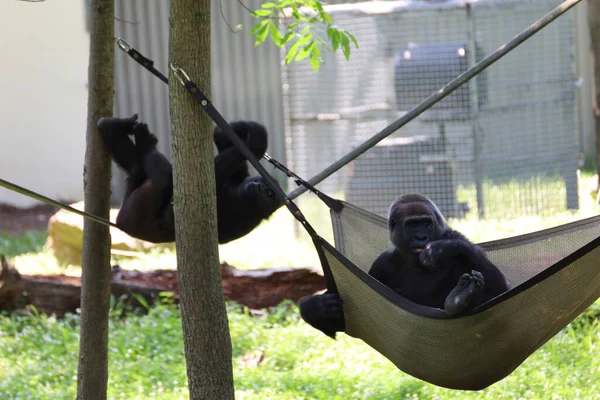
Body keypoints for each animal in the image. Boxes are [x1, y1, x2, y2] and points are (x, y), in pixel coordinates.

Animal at [97, 113, 282, 244]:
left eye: (270, 195)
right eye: (268, 188)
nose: (261, 189)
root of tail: (122, 226)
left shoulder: (241, 212)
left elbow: (170, 213)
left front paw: (256, 143)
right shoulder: (240, 180)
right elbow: (231, 150)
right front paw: (238, 131)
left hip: (132, 214)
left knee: (163, 176)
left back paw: (145, 142)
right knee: (136, 166)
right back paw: (113, 125)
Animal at [300, 194, 510, 338]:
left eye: (426, 223)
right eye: (412, 225)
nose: (421, 237)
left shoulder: (454, 235)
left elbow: (500, 289)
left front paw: (445, 248)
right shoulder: (381, 265)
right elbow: (341, 319)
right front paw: (315, 307)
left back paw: (458, 297)